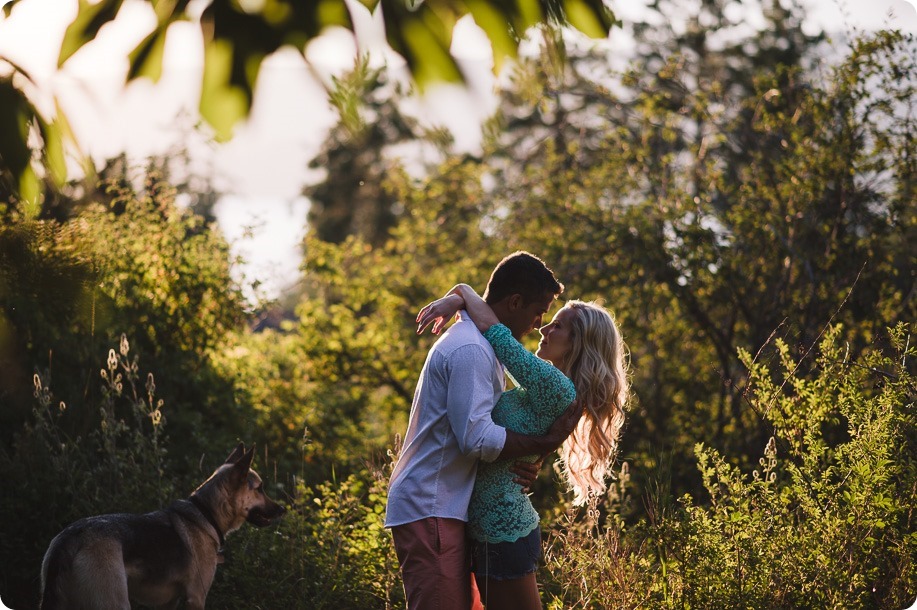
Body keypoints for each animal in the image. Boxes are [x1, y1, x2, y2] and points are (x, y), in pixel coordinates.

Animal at [38, 442, 282, 608]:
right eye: (260, 488)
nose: (283, 510)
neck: (206, 514)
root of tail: (71, 537)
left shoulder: (170, 603)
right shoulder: (196, 598)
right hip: (114, 602)